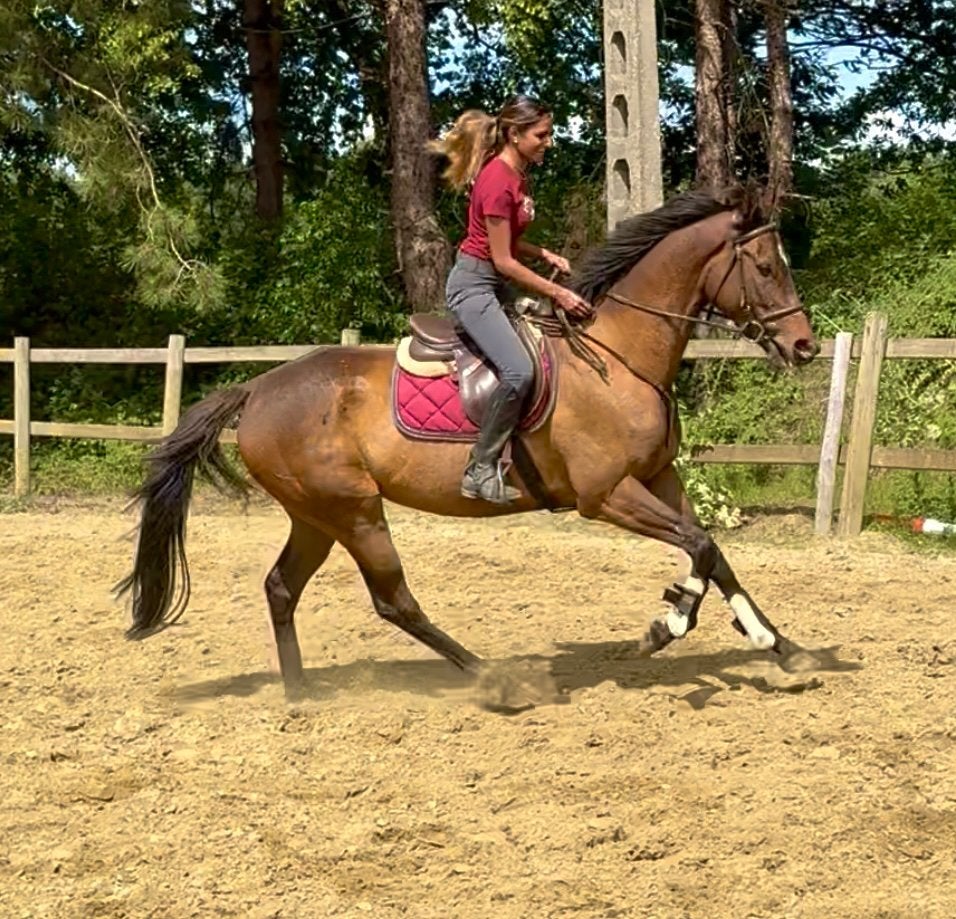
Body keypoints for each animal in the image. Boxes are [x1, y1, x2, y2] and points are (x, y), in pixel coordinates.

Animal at [118, 185, 819, 701]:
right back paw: (497, 679)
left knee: (281, 588)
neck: (619, 356)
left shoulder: (658, 477)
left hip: (315, 514)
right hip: (353, 511)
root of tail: (258, 389)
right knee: (394, 602)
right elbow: (699, 548)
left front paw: (780, 646)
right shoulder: (606, 495)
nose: (805, 346)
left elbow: (713, 552)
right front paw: (667, 624)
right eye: (764, 266)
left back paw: (300, 695)